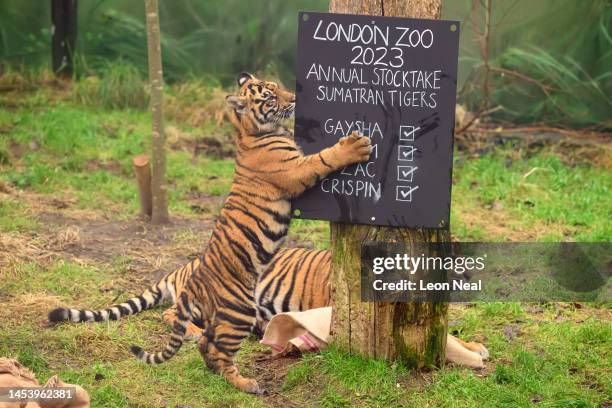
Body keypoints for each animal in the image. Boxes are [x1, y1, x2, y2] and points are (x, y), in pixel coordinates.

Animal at [47, 71, 372, 394]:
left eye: (277, 86)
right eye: (269, 96)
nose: (293, 98)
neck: (249, 132)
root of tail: (186, 270)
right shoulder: (295, 169)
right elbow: (324, 158)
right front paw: (354, 146)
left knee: (206, 343)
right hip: (238, 310)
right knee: (204, 341)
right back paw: (245, 382)